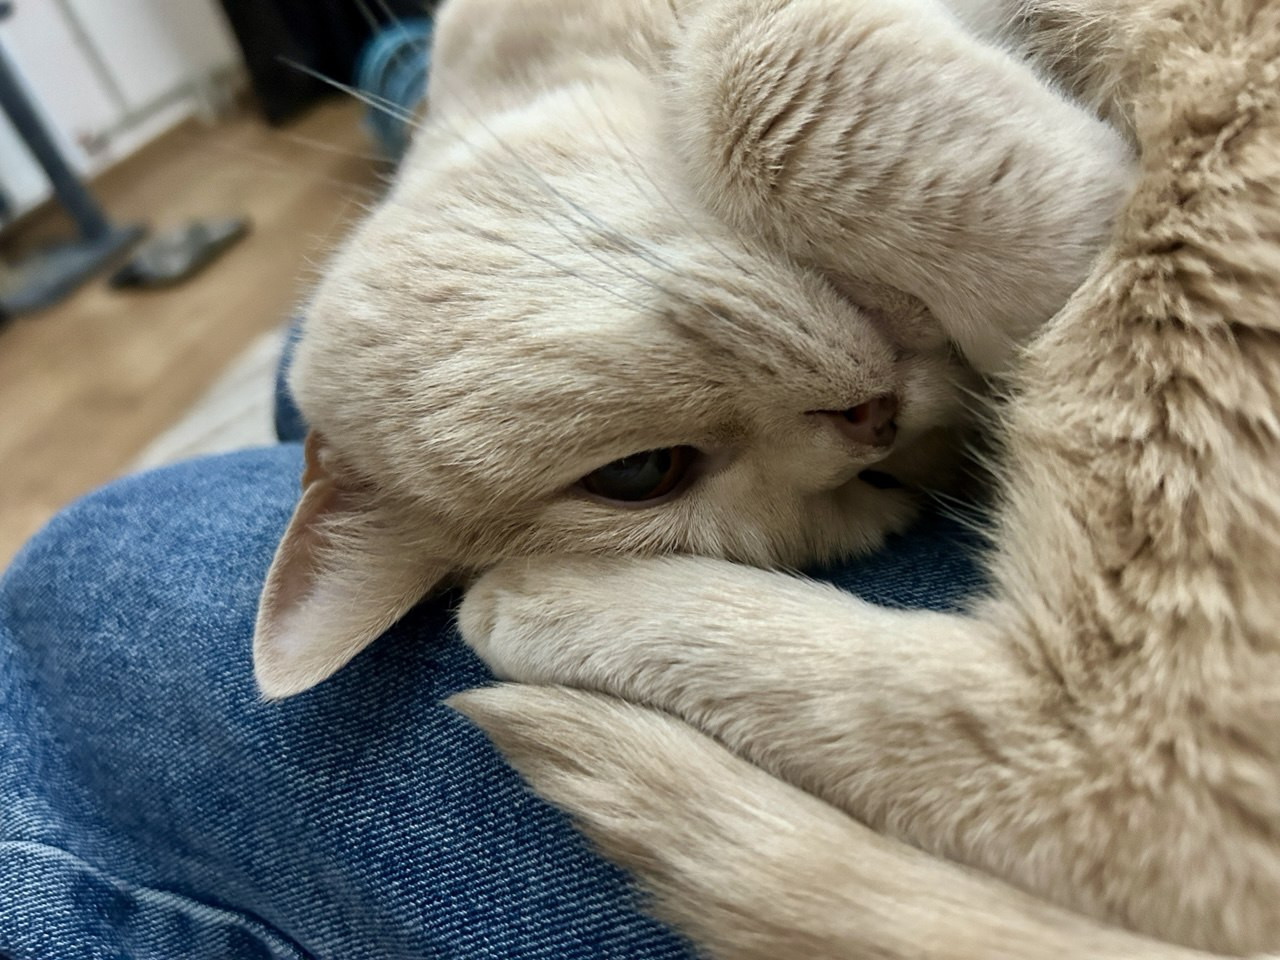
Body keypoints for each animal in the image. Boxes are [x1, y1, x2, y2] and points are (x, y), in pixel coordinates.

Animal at [451, 0, 1280, 956]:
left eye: (634, 471)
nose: (877, 424)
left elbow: (741, 69)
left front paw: (1048, 254)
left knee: (1106, 773)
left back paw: (540, 602)